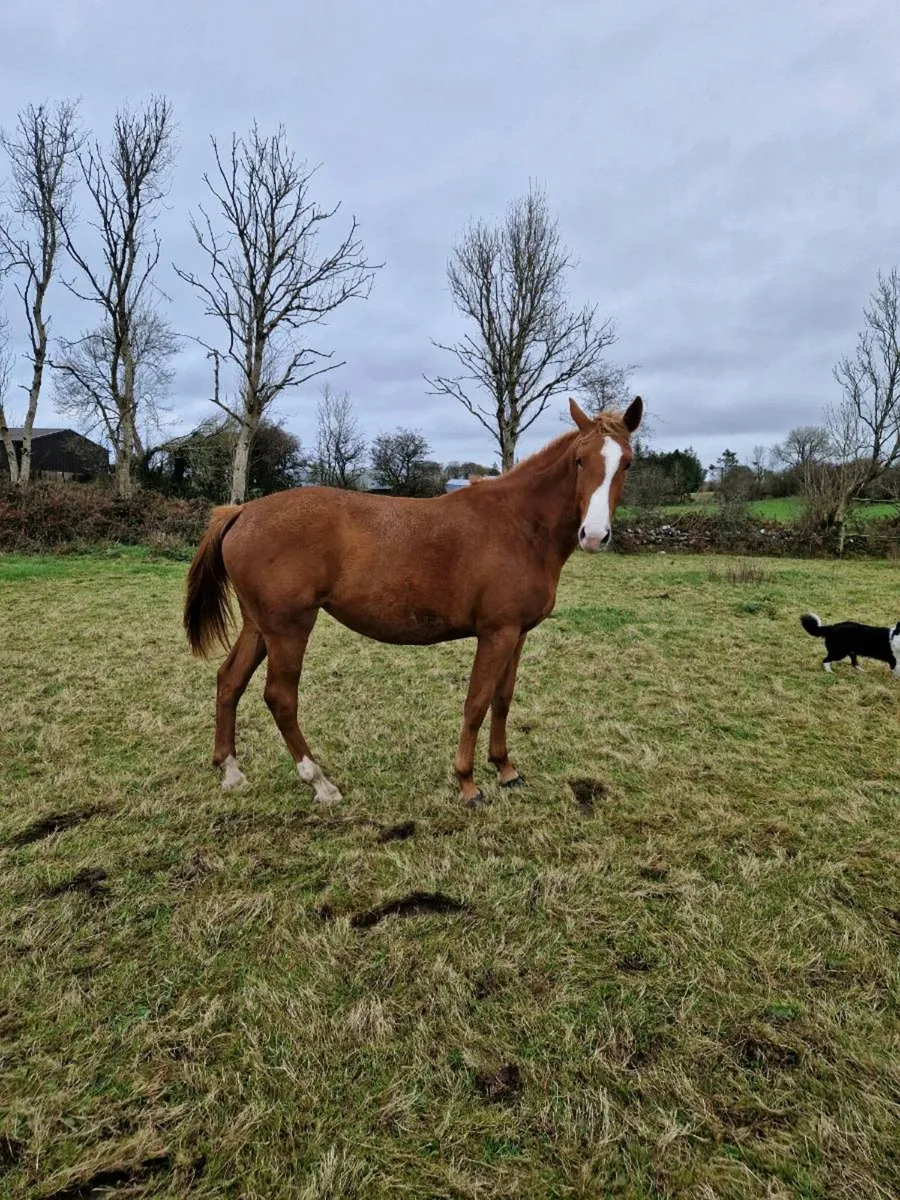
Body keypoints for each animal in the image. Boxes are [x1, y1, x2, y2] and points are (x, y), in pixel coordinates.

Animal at [184, 395, 642, 806]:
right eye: (580, 460)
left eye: (627, 463)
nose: (594, 535)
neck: (519, 524)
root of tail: (243, 512)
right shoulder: (496, 634)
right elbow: (476, 702)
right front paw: (467, 784)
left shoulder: (518, 634)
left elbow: (502, 699)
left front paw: (506, 770)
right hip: (288, 629)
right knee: (280, 698)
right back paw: (320, 783)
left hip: (258, 626)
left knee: (229, 680)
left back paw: (231, 771)